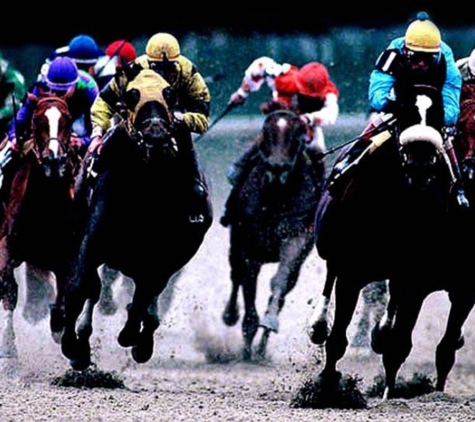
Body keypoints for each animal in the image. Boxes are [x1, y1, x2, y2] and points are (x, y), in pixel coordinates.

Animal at [0, 92, 81, 356]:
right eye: (36, 121)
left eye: (67, 119)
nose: (53, 161)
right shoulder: (7, 244)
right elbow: (9, 288)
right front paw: (9, 347)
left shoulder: (68, 256)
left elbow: (65, 298)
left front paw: (59, 328)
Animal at [60, 69, 213, 370]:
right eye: (131, 95)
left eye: (169, 95)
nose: (156, 135)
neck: (145, 192)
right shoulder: (93, 241)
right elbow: (82, 286)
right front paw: (73, 346)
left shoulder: (166, 257)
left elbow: (145, 295)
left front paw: (134, 337)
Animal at [304, 94, 475, 400]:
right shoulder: (354, 270)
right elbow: (339, 338)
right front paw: (327, 386)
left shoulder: (453, 284)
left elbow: (439, 347)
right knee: (331, 277)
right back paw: (319, 325)